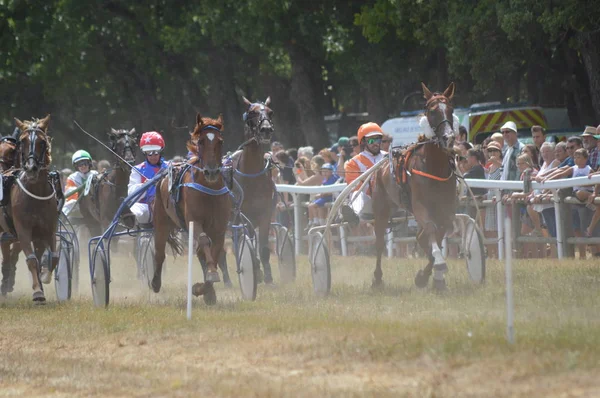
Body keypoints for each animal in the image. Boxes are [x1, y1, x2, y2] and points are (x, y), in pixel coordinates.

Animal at [151, 112, 231, 302]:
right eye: (201, 141)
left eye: (220, 141)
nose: (211, 171)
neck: (209, 190)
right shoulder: (194, 221)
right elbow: (203, 241)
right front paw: (209, 276)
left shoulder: (220, 228)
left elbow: (215, 252)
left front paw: (205, 289)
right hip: (161, 221)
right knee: (159, 252)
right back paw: (156, 283)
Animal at [372, 82, 458, 290]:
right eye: (433, 111)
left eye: (451, 109)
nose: (449, 137)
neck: (435, 167)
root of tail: (381, 163)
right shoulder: (420, 206)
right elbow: (431, 229)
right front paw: (438, 264)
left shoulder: (445, 208)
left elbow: (438, 232)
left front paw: (429, 276)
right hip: (381, 207)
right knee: (379, 242)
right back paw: (377, 278)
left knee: (420, 237)